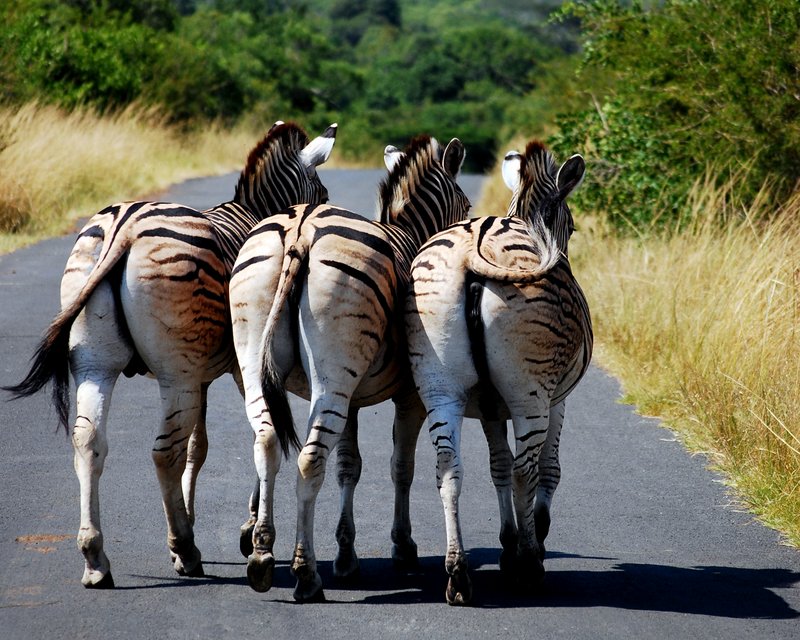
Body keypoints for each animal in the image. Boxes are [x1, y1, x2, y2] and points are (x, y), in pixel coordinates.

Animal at [3, 120, 334, 592]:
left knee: (89, 441)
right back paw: (184, 549)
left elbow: (198, 446)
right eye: (322, 195)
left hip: (97, 362)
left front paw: (198, 516)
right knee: (163, 452)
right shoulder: (233, 368)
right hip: (174, 372)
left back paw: (96, 558)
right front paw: (244, 528)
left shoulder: (202, 373)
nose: (322, 213)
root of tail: (125, 226)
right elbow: (237, 439)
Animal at [227, 135, 468, 600]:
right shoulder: (409, 394)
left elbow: (348, 467)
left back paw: (262, 555)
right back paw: (305, 574)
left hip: (261, 365)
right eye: (465, 207)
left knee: (267, 443)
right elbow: (401, 466)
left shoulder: (353, 398)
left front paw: (346, 554)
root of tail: (301, 231)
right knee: (308, 461)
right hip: (332, 378)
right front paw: (402, 547)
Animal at [404, 140, 592, 604]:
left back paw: (458, 574)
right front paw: (528, 540)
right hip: (530, 393)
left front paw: (508, 541)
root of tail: (475, 243)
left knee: (448, 468)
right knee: (528, 470)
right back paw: (529, 566)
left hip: (439, 382)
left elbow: (498, 465)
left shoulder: (489, 405)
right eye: (573, 226)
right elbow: (546, 468)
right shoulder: (558, 399)